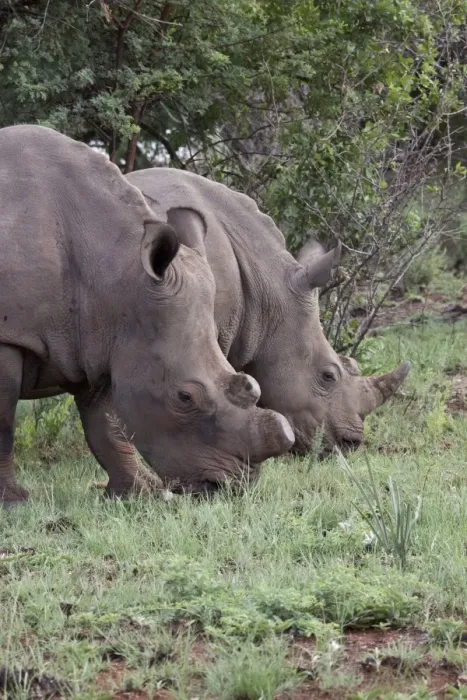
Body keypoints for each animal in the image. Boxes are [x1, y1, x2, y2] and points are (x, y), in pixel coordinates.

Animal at [0, 125, 294, 506]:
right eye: (185, 397)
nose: (231, 487)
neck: (114, 269)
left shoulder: (101, 337)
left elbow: (106, 424)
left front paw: (136, 493)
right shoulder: (12, 336)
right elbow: (4, 424)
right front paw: (13, 503)